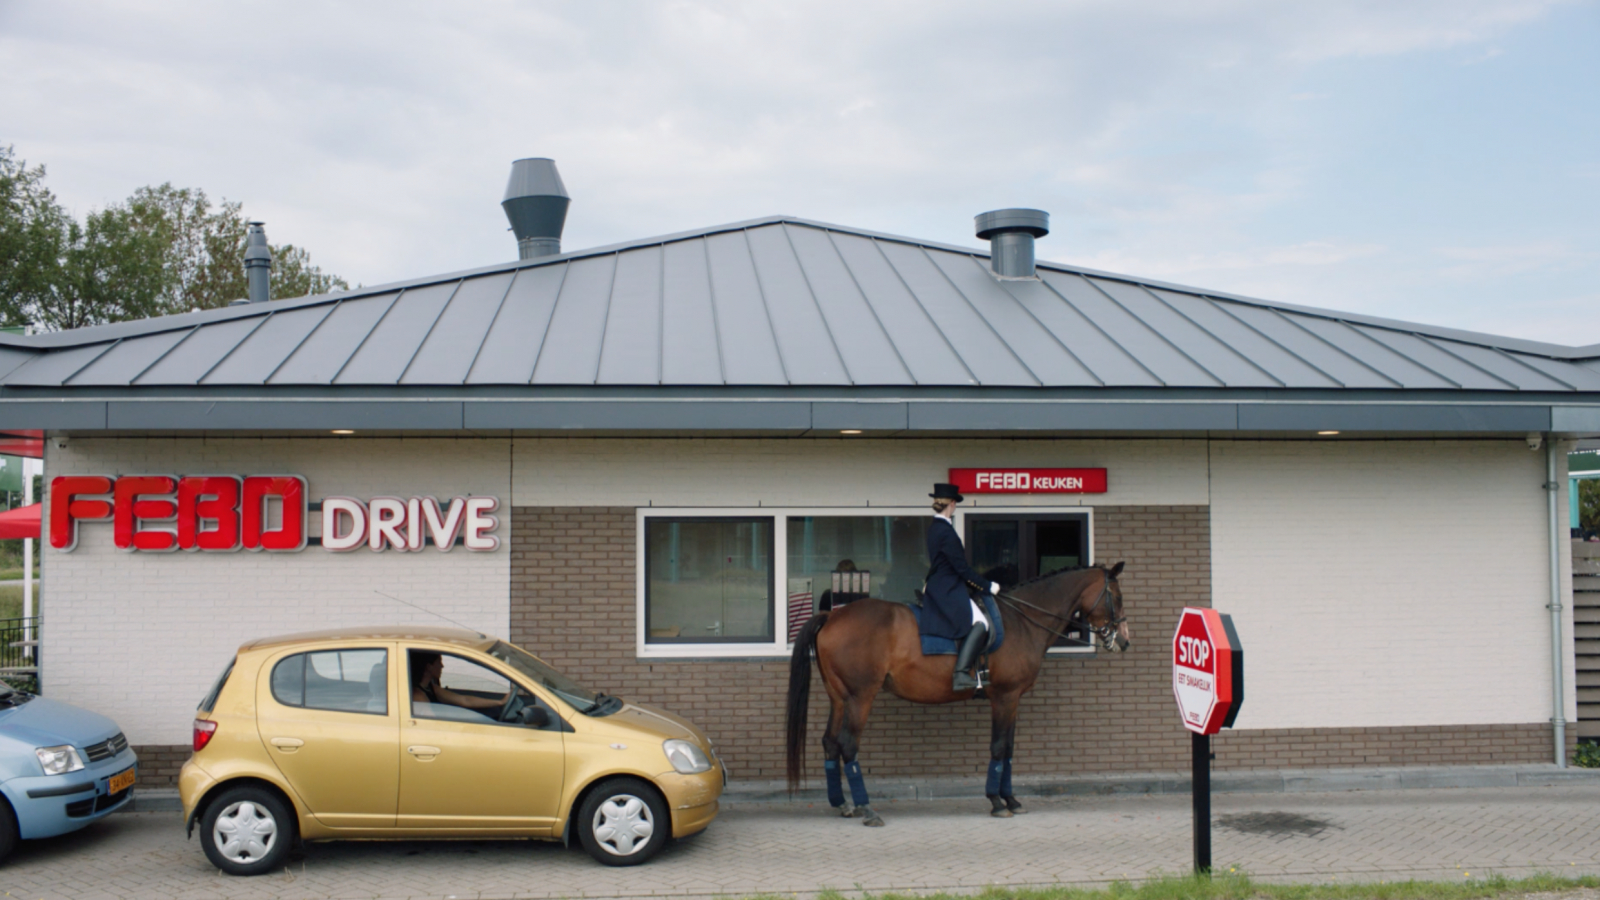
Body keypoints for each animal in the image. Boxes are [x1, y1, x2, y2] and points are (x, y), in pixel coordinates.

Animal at [784, 563, 1132, 826]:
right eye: (1117, 596)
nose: (1124, 641)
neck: (1021, 620)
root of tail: (833, 615)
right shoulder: (1005, 697)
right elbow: (999, 747)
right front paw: (997, 802)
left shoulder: (1012, 699)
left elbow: (1008, 750)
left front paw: (1011, 799)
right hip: (860, 698)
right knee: (848, 745)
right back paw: (867, 808)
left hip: (840, 698)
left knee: (830, 743)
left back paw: (842, 804)